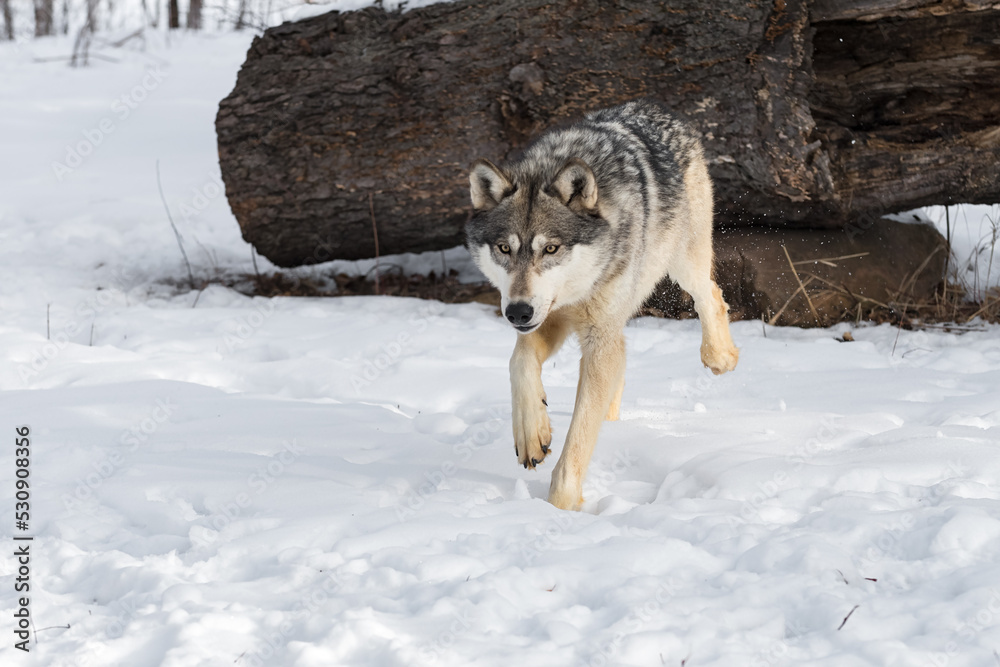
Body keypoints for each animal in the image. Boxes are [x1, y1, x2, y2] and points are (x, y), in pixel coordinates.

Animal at [465, 99, 739, 510]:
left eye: (551, 249)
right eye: (504, 249)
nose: (517, 312)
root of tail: (656, 107)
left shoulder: (595, 336)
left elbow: (579, 437)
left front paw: (558, 509)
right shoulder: (551, 319)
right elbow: (518, 362)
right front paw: (533, 434)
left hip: (682, 264)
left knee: (711, 294)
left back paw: (720, 356)